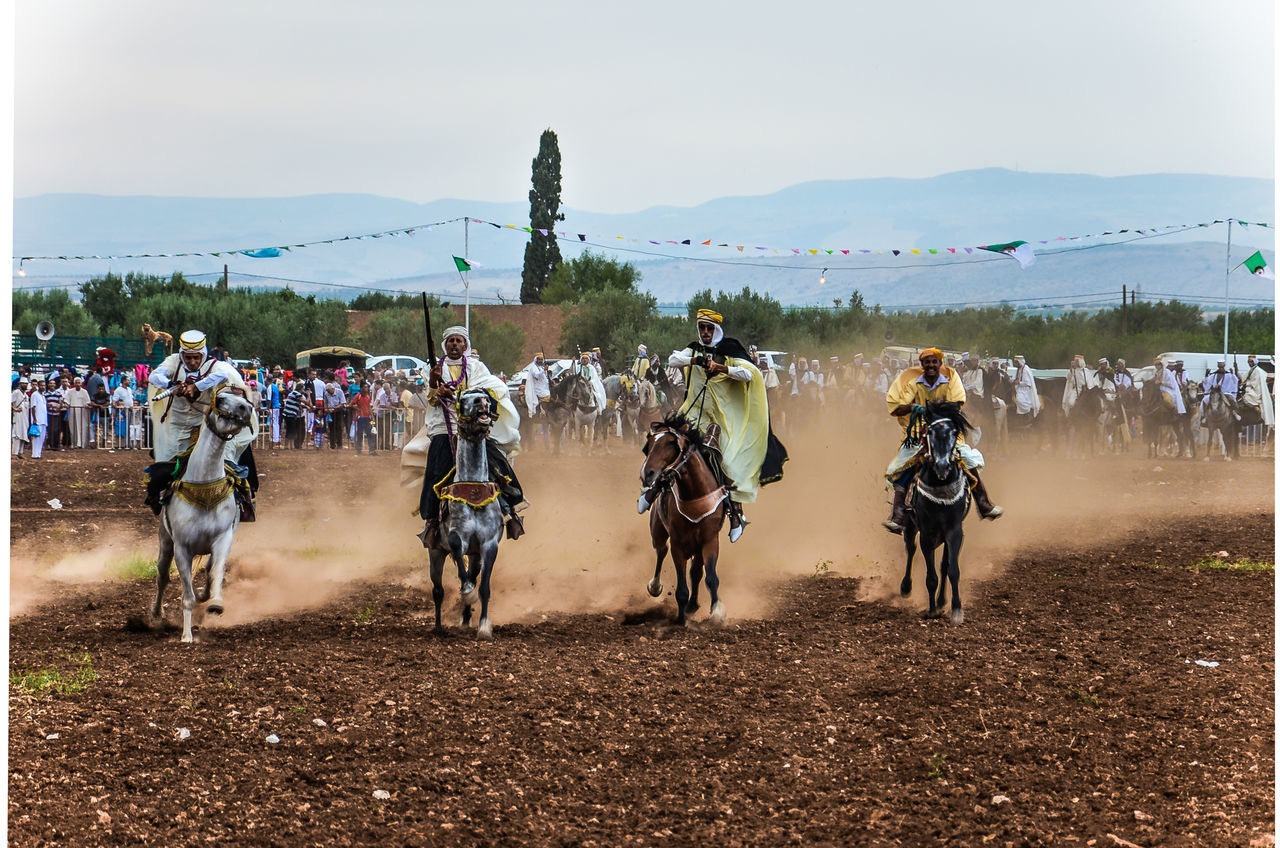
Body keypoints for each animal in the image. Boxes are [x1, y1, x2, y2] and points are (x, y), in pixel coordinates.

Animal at [152, 389, 254, 645]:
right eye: (221, 399)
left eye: (242, 399)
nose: (246, 407)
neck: (204, 487)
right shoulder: (182, 548)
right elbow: (185, 594)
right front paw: (187, 635)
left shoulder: (223, 539)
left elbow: (215, 572)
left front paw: (215, 603)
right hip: (165, 542)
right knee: (162, 577)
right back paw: (156, 613)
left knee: (207, 571)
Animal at [424, 389, 504, 637]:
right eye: (463, 399)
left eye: (485, 395)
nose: (482, 402)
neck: (474, 490)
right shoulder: (456, 537)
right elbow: (460, 568)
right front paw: (467, 593)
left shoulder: (489, 545)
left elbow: (484, 587)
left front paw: (484, 625)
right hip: (435, 553)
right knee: (438, 590)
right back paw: (438, 626)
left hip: (476, 556)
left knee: (472, 575)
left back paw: (467, 617)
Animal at [634, 415, 727, 627]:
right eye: (649, 444)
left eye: (671, 442)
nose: (647, 473)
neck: (695, 494)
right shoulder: (678, 545)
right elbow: (682, 589)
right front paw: (680, 620)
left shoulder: (710, 540)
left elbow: (711, 577)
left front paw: (716, 611)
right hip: (658, 530)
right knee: (661, 551)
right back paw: (655, 586)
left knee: (696, 571)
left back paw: (693, 604)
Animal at [901, 402, 967, 627]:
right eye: (929, 431)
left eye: (954, 432)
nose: (942, 466)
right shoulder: (927, 534)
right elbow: (931, 577)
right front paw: (931, 610)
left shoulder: (954, 531)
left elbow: (952, 570)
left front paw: (955, 609)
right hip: (910, 525)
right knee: (910, 549)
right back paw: (906, 587)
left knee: (944, 565)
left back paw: (941, 600)